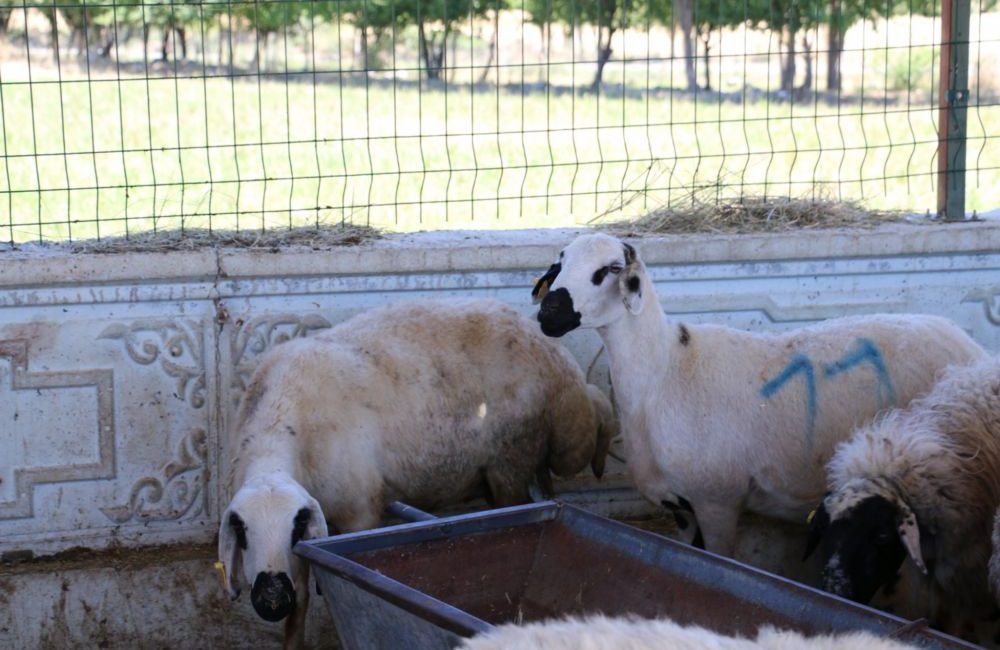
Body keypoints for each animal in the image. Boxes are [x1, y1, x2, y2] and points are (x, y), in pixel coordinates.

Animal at [219, 298, 616, 648]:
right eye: (242, 531)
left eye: (293, 525)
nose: (272, 598)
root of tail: (547, 342)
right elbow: (299, 606)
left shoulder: (359, 513)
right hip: (511, 466)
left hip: (527, 453)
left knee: (595, 411)